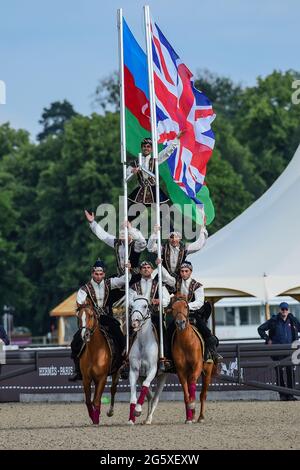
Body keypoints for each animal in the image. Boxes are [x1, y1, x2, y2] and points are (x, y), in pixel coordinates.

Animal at [127, 298, 168, 426]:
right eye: (132, 306)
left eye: (145, 306)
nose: (135, 322)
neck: (143, 344)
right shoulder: (134, 372)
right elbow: (133, 395)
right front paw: (132, 418)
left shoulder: (152, 370)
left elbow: (146, 385)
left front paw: (138, 410)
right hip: (141, 376)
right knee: (150, 396)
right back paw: (146, 418)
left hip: (162, 377)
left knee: (155, 398)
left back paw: (149, 419)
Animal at [171, 294, 216, 422]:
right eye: (172, 308)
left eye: (186, 306)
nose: (180, 323)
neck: (186, 342)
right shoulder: (181, 371)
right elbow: (185, 393)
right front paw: (189, 416)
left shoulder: (197, 366)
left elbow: (192, 383)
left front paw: (192, 405)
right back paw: (192, 415)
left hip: (207, 372)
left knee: (203, 395)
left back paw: (201, 417)